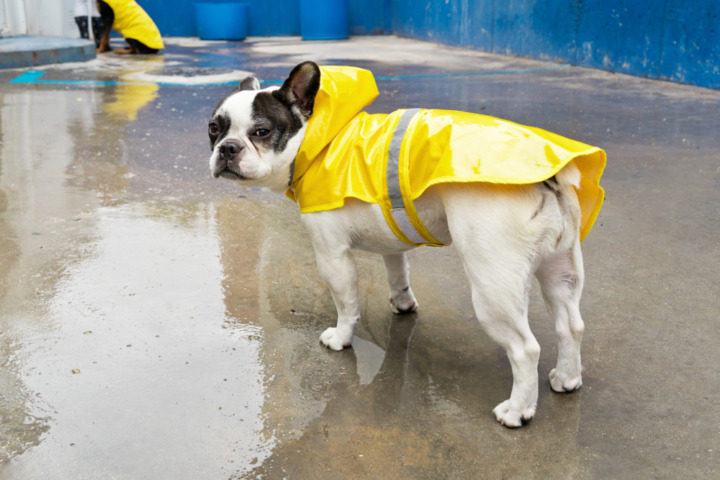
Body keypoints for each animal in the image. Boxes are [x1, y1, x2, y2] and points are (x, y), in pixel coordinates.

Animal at [208, 61, 592, 428]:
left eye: (261, 132)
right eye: (214, 128)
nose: (227, 148)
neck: (317, 138)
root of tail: (549, 178)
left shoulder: (332, 255)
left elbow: (346, 303)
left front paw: (341, 337)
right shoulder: (391, 240)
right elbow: (398, 272)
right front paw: (403, 303)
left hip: (493, 286)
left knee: (525, 349)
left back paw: (518, 411)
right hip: (562, 268)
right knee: (571, 325)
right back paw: (567, 378)